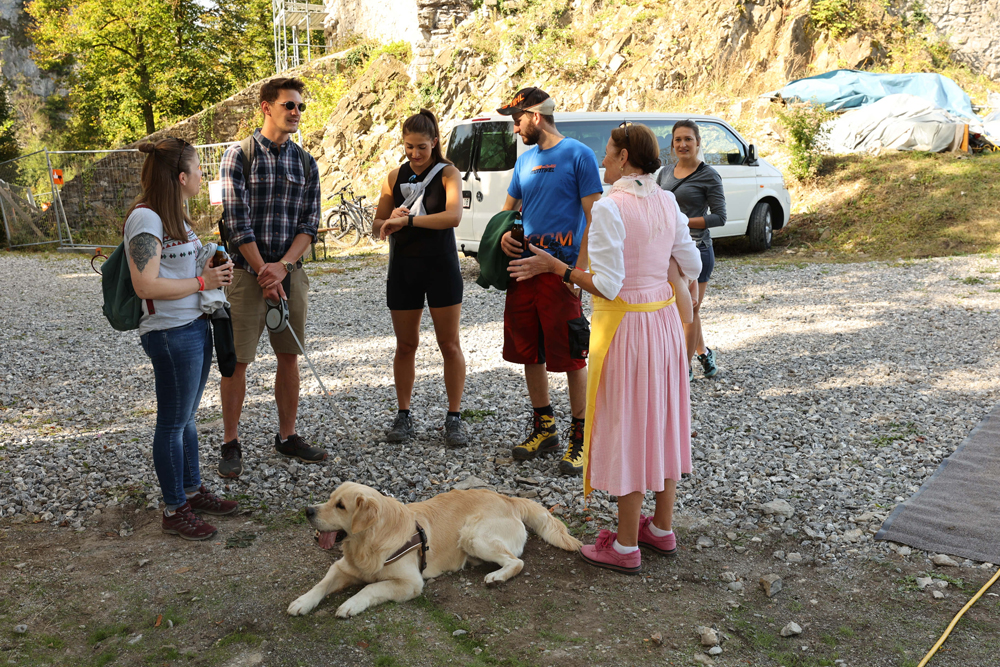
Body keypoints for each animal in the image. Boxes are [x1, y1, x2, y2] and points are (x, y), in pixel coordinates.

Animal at [287, 482, 582, 618]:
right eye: (329, 499)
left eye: (341, 506)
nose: (308, 511)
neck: (368, 541)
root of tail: (508, 498)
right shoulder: (341, 567)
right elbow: (321, 585)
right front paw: (302, 602)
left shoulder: (410, 583)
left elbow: (370, 587)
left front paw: (350, 604)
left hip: (473, 536)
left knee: (517, 562)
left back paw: (497, 577)